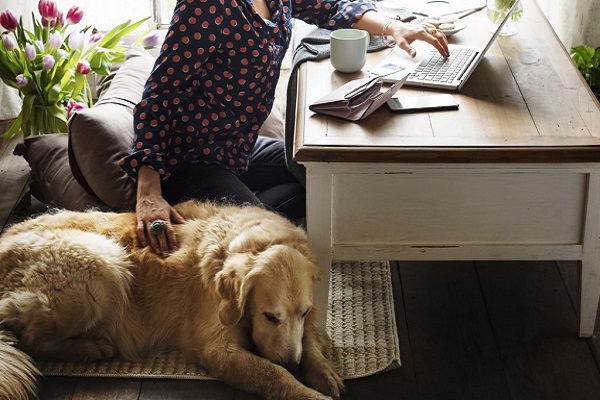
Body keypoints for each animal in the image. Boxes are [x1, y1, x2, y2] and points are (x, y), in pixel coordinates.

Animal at [0, 202, 344, 400]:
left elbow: (309, 340)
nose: (291, 361)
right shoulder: (216, 349)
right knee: (30, 340)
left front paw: (322, 370)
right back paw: (90, 348)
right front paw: (306, 389)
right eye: (270, 317)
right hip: (102, 262)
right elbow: (274, 374)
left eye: (304, 312)